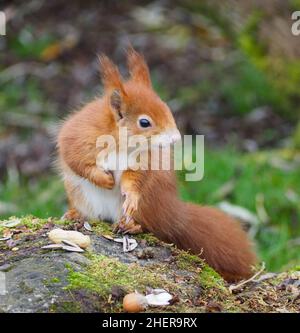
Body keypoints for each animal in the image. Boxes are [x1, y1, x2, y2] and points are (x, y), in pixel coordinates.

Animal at [57, 46, 256, 280]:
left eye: (167, 108)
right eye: (144, 122)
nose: (176, 139)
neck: (120, 141)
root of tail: (173, 214)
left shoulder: (143, 160)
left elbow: (135, 178)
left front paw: (130, 195)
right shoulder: (78, 137)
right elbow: (77, 161)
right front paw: (104, 179)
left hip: (148, 203)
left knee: (150, 227)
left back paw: (131, 226)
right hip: (81, 195)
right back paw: (75, 214)